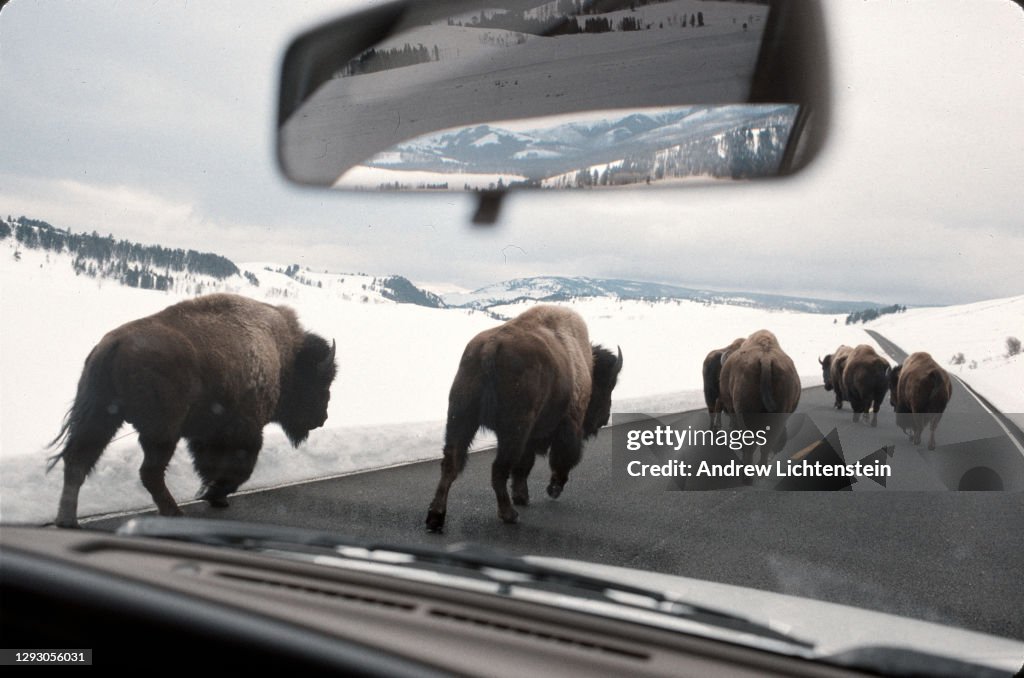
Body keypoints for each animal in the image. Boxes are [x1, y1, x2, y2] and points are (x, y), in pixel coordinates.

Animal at [48, 294, 335, 528]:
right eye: (320, 382)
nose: (322, 418)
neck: (283, 355)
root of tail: (114, 344)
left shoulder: (206, 434)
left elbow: (208, 464)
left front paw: (212, 494)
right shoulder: (244, 430)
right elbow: (240, 468)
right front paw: (213, 493)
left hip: (101, 418)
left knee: (77, 462)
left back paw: (67, 521)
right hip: (161, 431)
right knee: (148, 472)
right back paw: (174, 513)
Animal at [425, 305, 622, 532]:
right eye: (608, 386)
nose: (604, 419)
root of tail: (490, 347)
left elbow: (524, 465)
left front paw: (522, 496)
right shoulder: (567, 426)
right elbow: (561, 458)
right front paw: (552, 489)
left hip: (461, 419)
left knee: (451, 464)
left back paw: (435, 518)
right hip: (513, 430)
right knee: (499, 469)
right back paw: (509, 514)